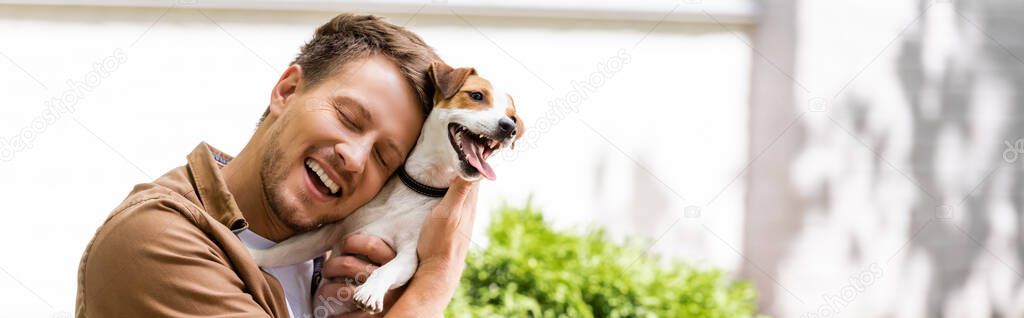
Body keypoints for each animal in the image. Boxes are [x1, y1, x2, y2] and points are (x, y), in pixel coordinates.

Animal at [245, 61, 520, 314]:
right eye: (477, 96)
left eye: (514, 117)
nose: (509, 128)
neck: (419, 186)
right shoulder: (331, 232)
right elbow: (285, 250)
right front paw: (253, 255)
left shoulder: (410, 255)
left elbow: (389, 269)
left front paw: (371, 291)